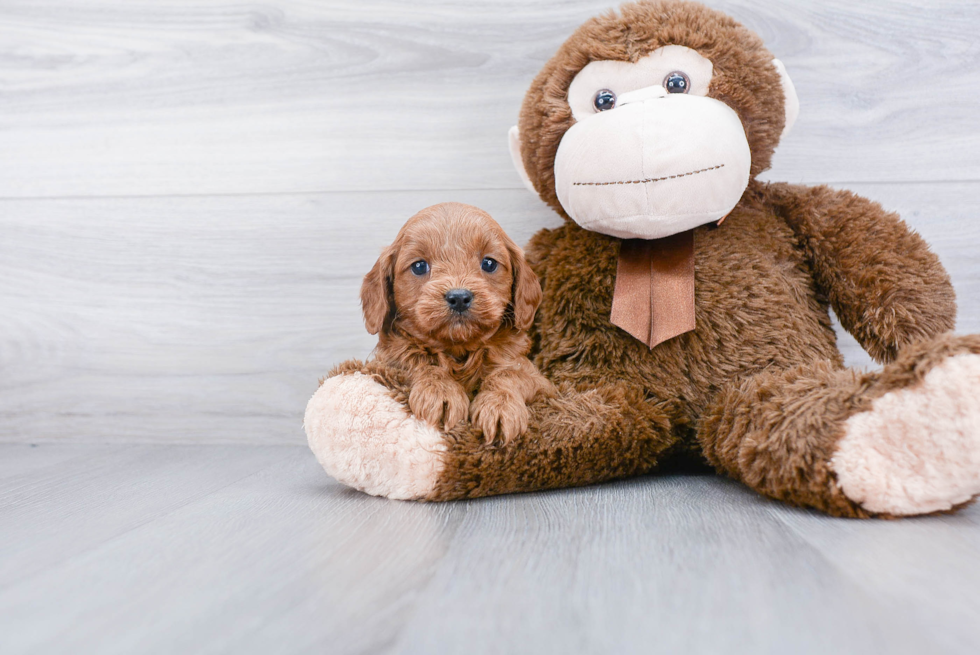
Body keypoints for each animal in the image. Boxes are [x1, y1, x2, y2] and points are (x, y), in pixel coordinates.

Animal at [362, 202, 560, 444]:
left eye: (489, 263)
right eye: (419, 266)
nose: (458, 297)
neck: (459, 352)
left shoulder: (542, 384)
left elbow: (510, 373)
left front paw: (499, 406)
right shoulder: (385, 363)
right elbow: (417, 361)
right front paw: (441, 391)